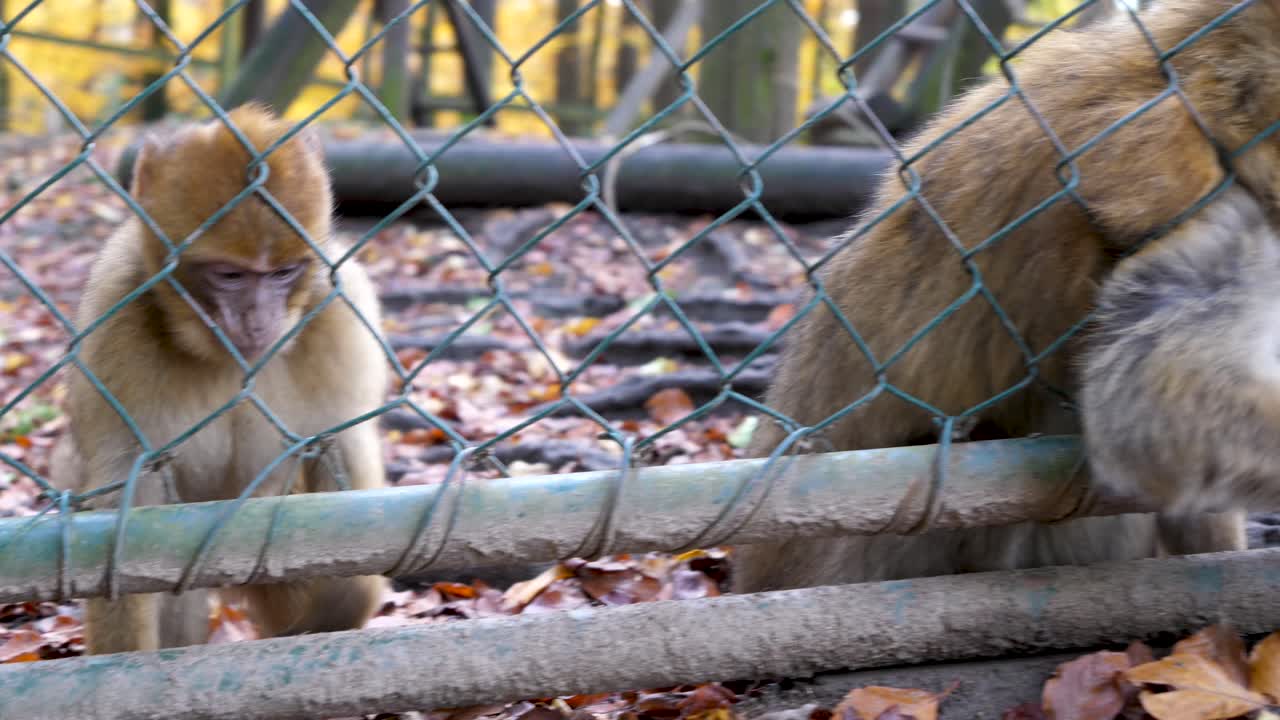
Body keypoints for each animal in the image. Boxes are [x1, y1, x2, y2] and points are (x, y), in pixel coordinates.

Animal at [50, 104, 389, 653]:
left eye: (283, 273)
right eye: (230, 275)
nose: (258, 321)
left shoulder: (340, 308)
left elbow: (339, 448)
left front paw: (345, 597)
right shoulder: (116, 316)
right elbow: (129, 501)